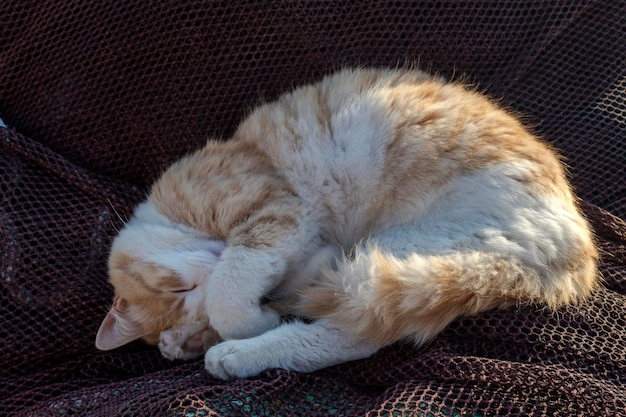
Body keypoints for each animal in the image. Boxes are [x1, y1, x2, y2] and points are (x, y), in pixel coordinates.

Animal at [94, 68, 596, 380]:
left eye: (178, 289)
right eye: (182, 301)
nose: (206, 271)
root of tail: (576, 253)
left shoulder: (273, 208)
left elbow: (230, 294)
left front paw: (246, 318)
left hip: (412, 247)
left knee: (355, 333)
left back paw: (236, 354)